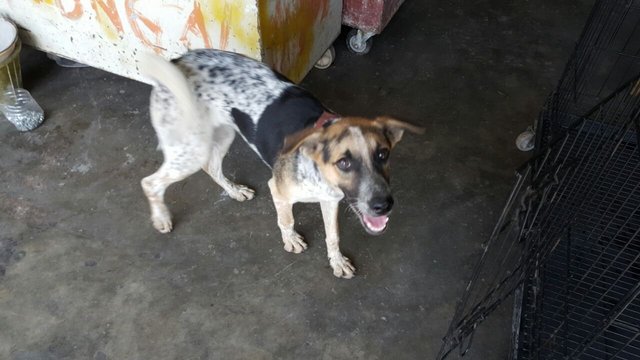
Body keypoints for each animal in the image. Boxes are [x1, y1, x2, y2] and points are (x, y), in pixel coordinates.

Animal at [138, 48, 422, 278]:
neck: (317, 170)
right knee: (150, 183)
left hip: (223, 134)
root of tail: (177, 60)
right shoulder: (278, 190)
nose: (383, 206)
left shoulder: (330, 200)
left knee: (212, 167)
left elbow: (333, 236)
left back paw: (235, 191)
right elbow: (286, 221)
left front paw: (337, 262)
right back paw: (161, 218)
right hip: (189, 149)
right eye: (344, 163)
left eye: (383, 154)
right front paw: (292, 240)